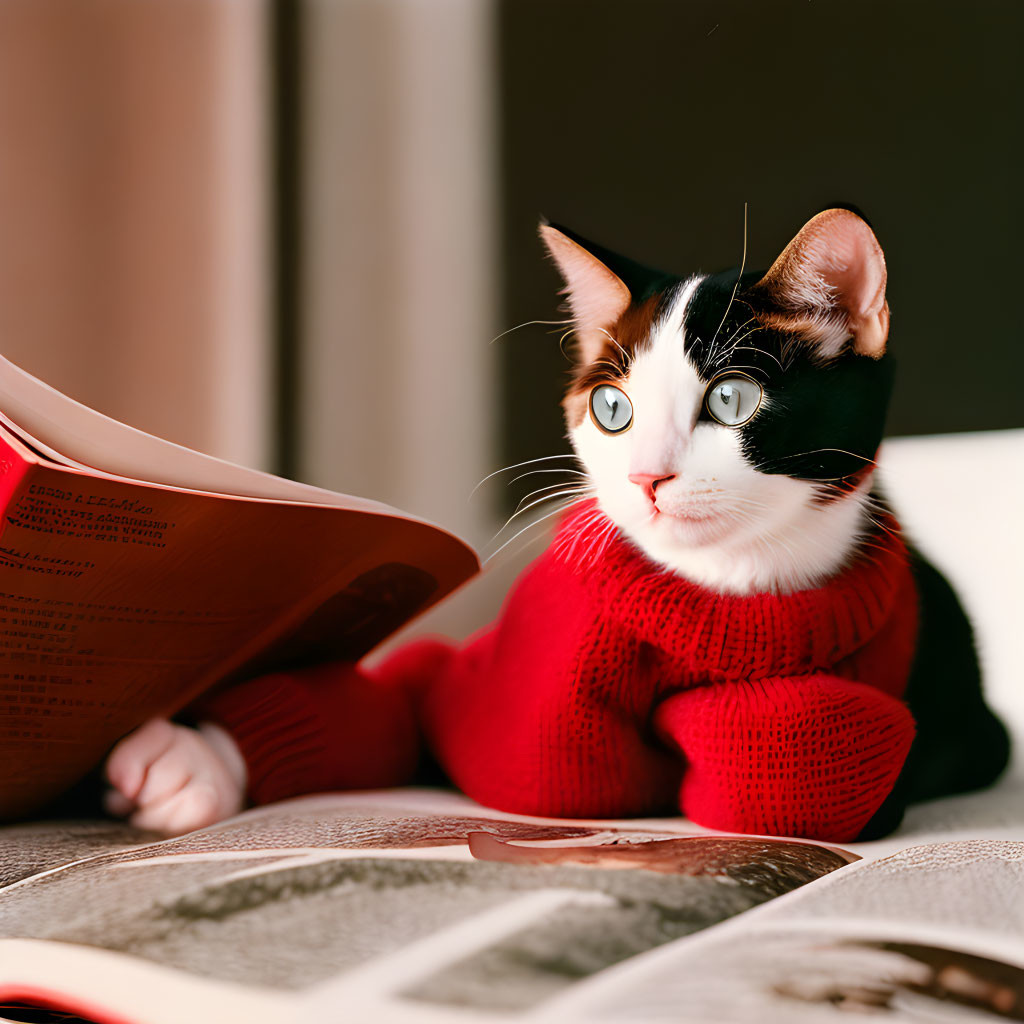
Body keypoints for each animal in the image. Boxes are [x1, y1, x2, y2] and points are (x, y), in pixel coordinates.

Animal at [103, 205, 1007, 839]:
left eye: (732, 399)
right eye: (613, 408)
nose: (646, 476)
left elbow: (805, 754)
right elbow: (403, 698)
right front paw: (188, 762)